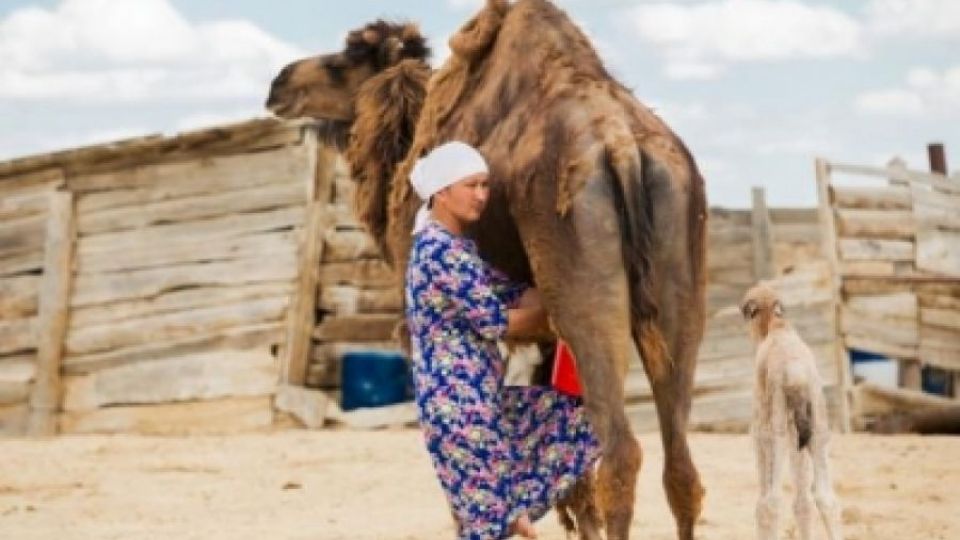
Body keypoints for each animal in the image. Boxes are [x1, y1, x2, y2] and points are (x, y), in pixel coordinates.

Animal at [266, 2, 708, 536]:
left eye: (342, 60)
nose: (278, 83)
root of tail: (620, 143)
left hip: (585, 280)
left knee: (621, 452)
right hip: (681, 256)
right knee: (680, 463)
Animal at [740, 284, 844, 540]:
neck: (777, 327)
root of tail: (796, 375)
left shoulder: (761, 434)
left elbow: (764, 502)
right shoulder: (798, 437)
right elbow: (803, 503)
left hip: (776, 432)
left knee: (771, 502)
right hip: (817, 430)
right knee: (825, 498)